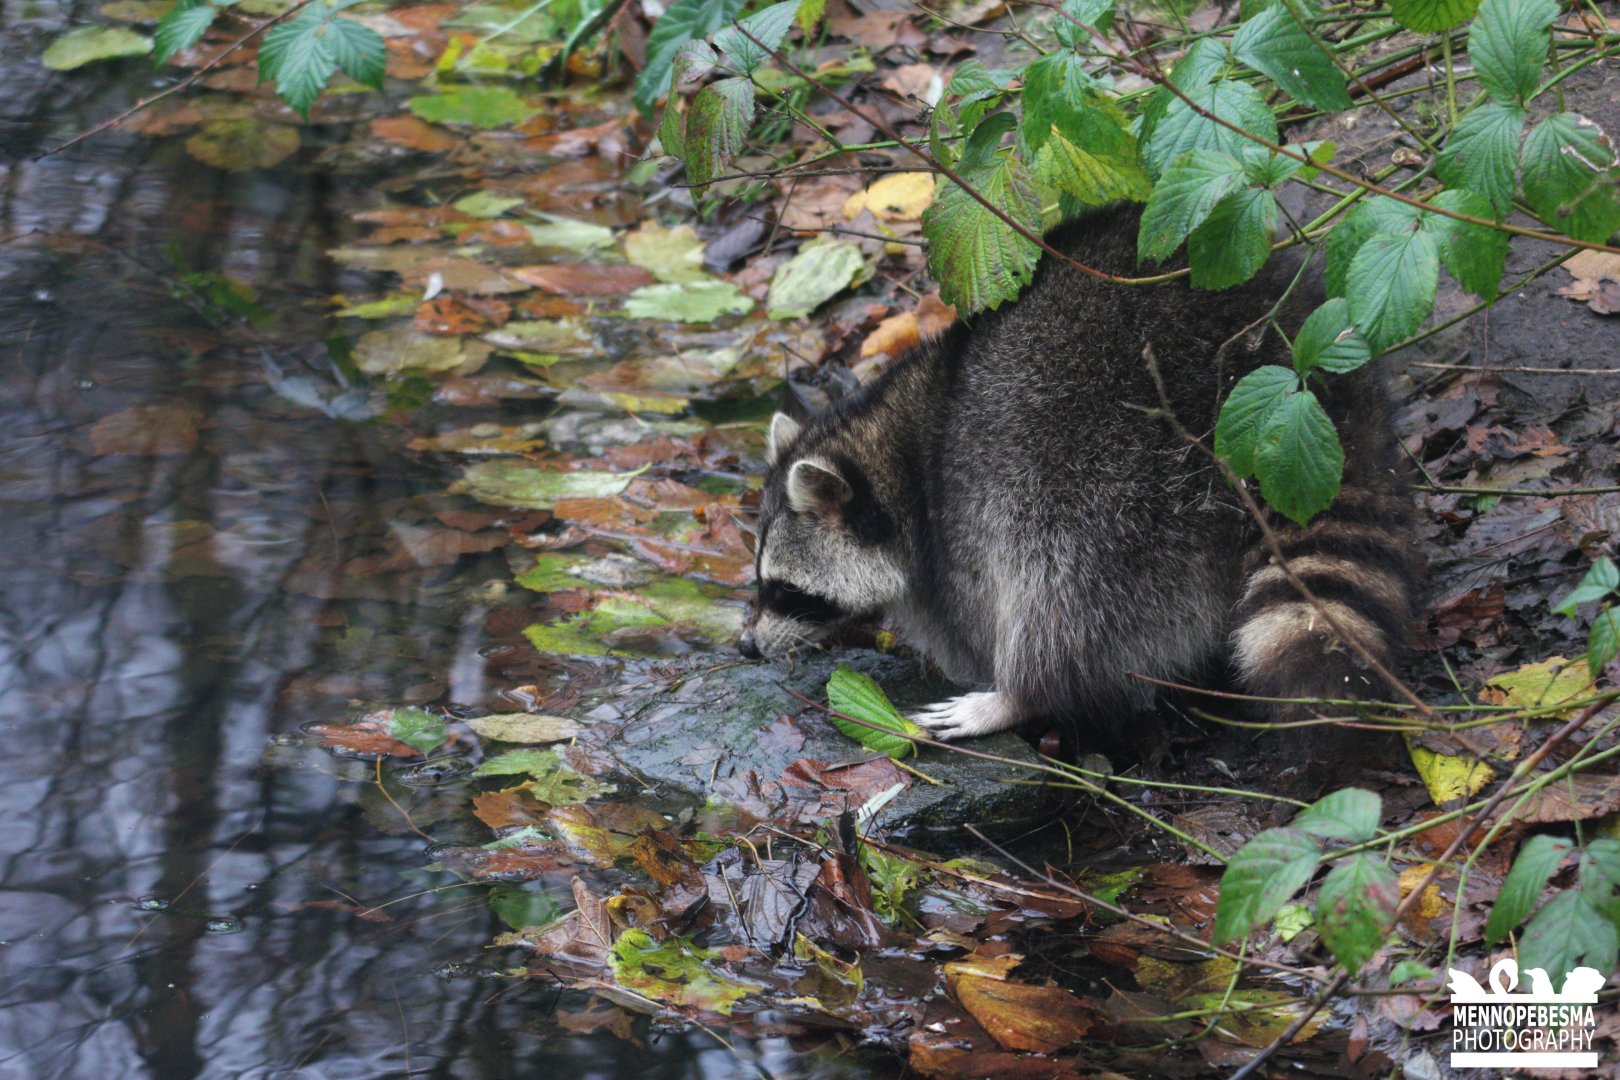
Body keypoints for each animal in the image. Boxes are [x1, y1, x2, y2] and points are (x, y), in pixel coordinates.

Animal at [739, 204, 1423, 743]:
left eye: (784, 590)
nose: (747, 647)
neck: (894, 445)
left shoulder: (954, 525)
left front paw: (1005, 682)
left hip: (1101, 465)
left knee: (1059, 586)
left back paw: (1020, 693)